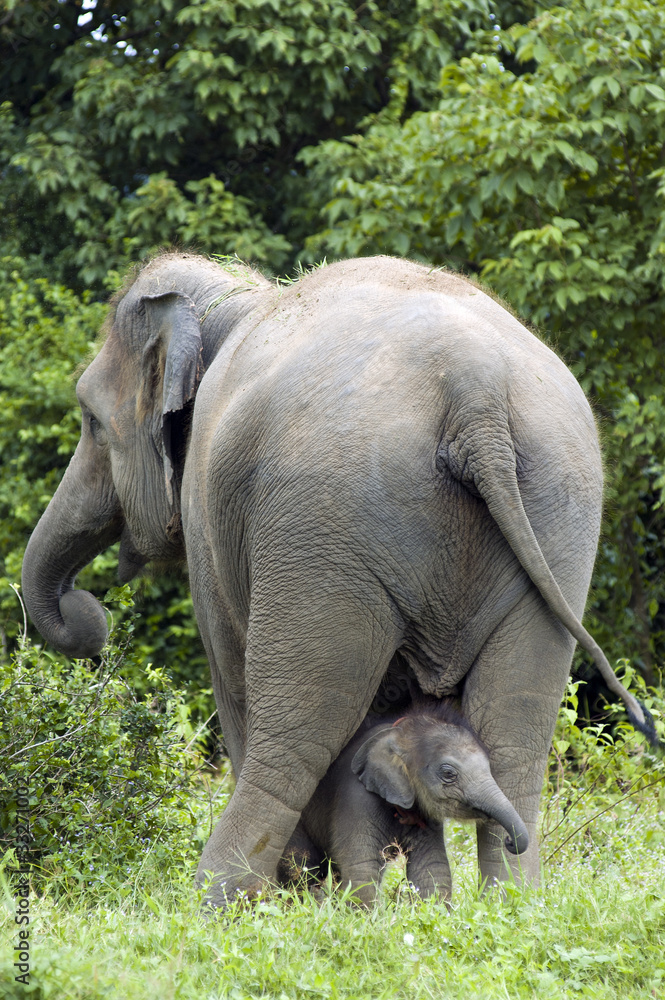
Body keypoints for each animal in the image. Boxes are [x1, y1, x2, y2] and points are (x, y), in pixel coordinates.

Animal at [279, 701, 529, 905]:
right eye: (448, 773)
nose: (509, 841)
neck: (397, 732)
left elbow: (432, 868)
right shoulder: (356, 797)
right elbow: (362, 867)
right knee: (301, 865)